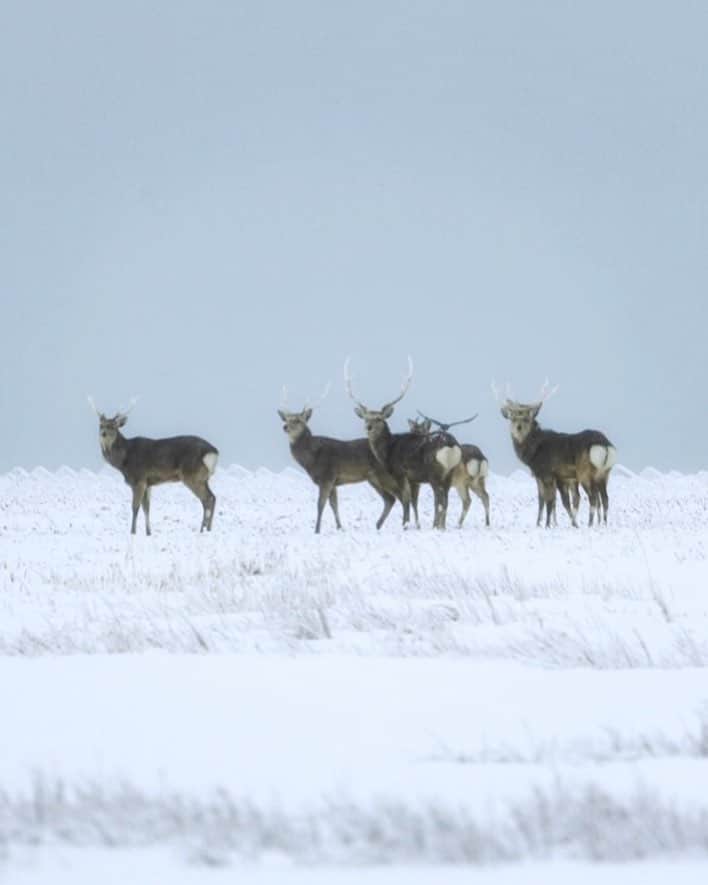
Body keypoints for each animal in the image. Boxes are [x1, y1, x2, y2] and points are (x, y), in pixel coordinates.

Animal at [88, 398, 218, 535]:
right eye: (101, 425)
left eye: (113, 426)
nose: (103, 434)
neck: (123, 462)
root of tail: (213, 452)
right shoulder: (148, 483)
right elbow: (147, 508)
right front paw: (148, 532)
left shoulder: (139, 479)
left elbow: (135, 507)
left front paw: (132, 531)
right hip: (203, 477)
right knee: (212, 497)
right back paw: (208, 528)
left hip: (192, 475)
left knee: (207, 499)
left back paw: (203, 529)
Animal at [278, 386, 400, 533]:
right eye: (286, 419)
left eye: (298, 420)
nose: (285, 427)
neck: (311, 459)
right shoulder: (334, 482)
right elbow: (334, 505)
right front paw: (339, 527)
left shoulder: (327, 476)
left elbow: (320, 504)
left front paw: (317, 530)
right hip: (373, 478)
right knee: (390, 499)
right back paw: (378, 525)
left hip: (384, 474)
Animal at [344, 358, 462, 530]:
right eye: (365, 418)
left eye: (379, 418)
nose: (368, 427)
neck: (387, 451)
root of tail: (451, 446)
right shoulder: (414, 479)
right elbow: (413, 502)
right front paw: (415, 525)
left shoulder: (400, 473)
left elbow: (405, 500)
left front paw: (405, 524)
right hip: (450, 473)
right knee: (445, 501)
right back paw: (442, 526)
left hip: (434, 473)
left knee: (438, 501)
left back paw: (435, 526)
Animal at [494, 381, 616, 527]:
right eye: (512, 418)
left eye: (526, 418)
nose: (518, 428)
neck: (533, 454)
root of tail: (604, 445)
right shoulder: (545, 476)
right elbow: (543, 500)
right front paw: (539, 523)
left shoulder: (547, 474)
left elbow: (550, 501)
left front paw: (547, 525)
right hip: (604, 473)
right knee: (605, 498)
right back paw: (603, 523)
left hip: (585, 473)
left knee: (593, 498)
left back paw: (590, 524)